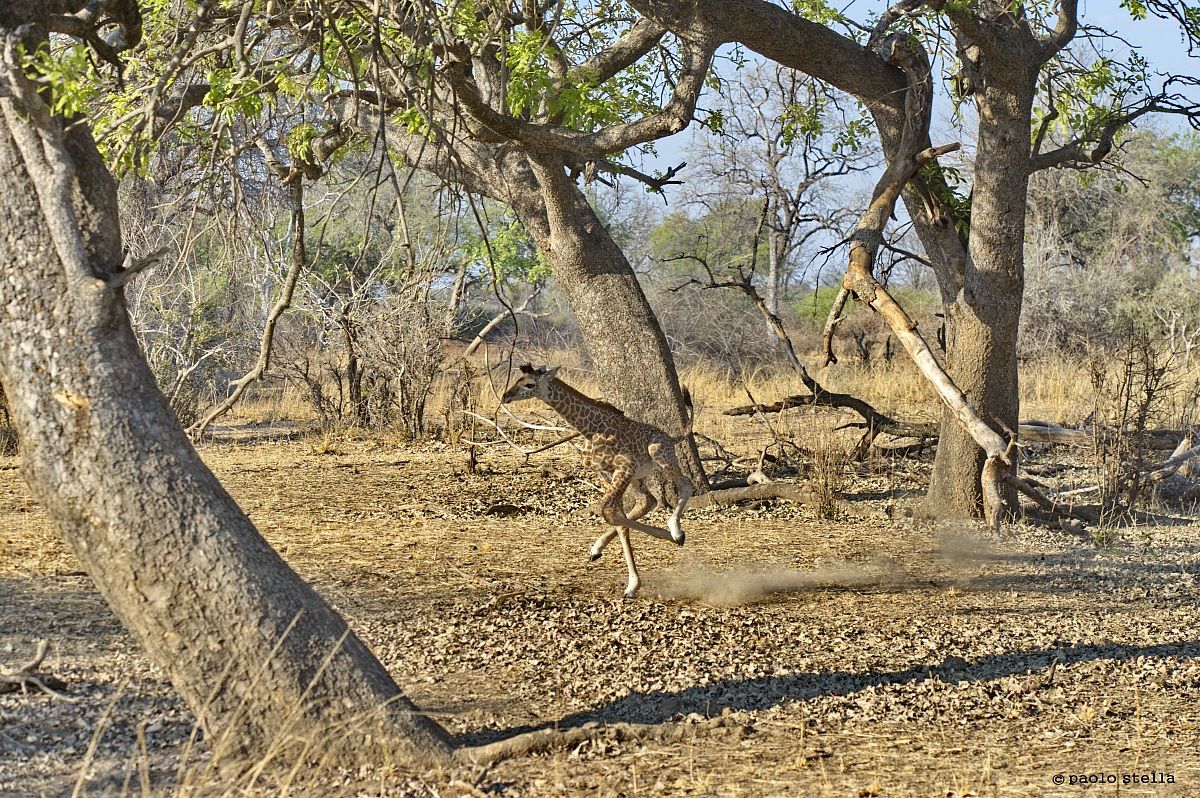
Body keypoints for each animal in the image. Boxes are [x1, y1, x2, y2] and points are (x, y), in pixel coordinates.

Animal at [501, 364, 694, 598]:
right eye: (517, 379)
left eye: (530, 384)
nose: (505, 396)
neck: (590, 430)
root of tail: (671, 437)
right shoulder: (603, 471)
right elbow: (616, 518)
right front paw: (630, 582)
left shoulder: (625, 466)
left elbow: (610, 513)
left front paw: (665, 538)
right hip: (639, 476)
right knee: (647, 501)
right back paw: (599, 548)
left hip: (659, 453)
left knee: (685, 484)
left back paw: (676, 531)